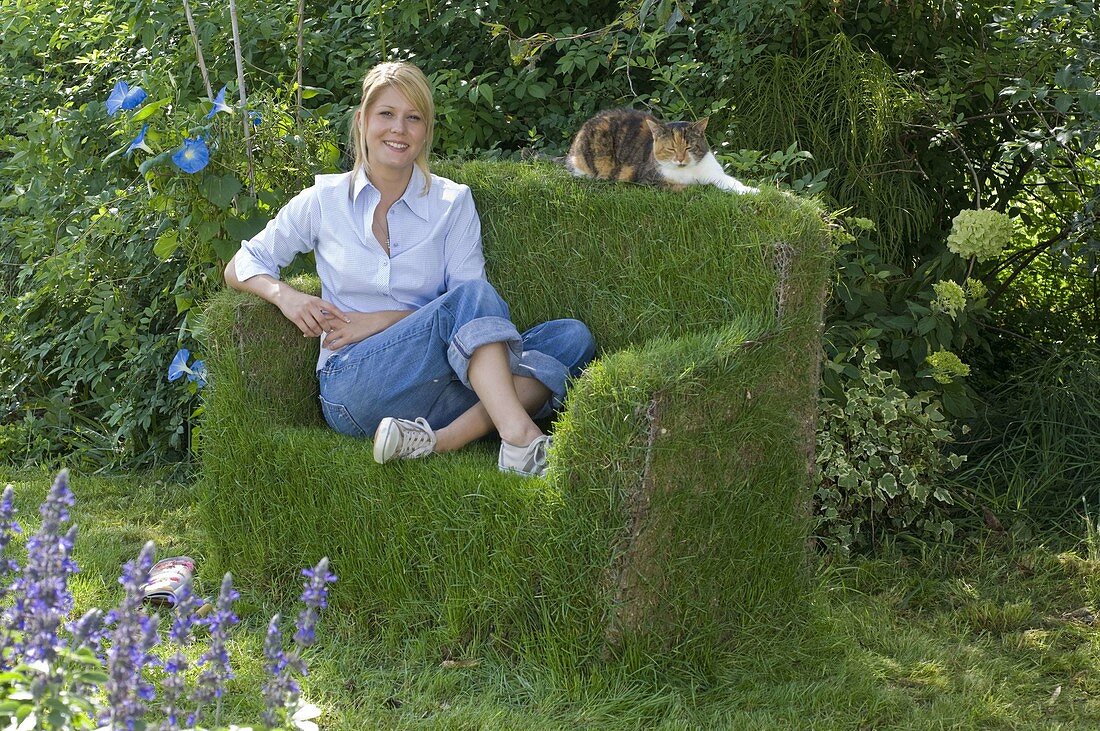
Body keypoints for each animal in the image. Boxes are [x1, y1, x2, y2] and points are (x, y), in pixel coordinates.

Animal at [567, 107, 756, 193]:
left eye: (689, 146)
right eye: (671, 148)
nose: (680, 159)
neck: (687, 171)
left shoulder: (714, 173)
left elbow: (731, 182)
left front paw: (750, 190)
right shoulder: (651, 180)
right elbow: (690, 187)